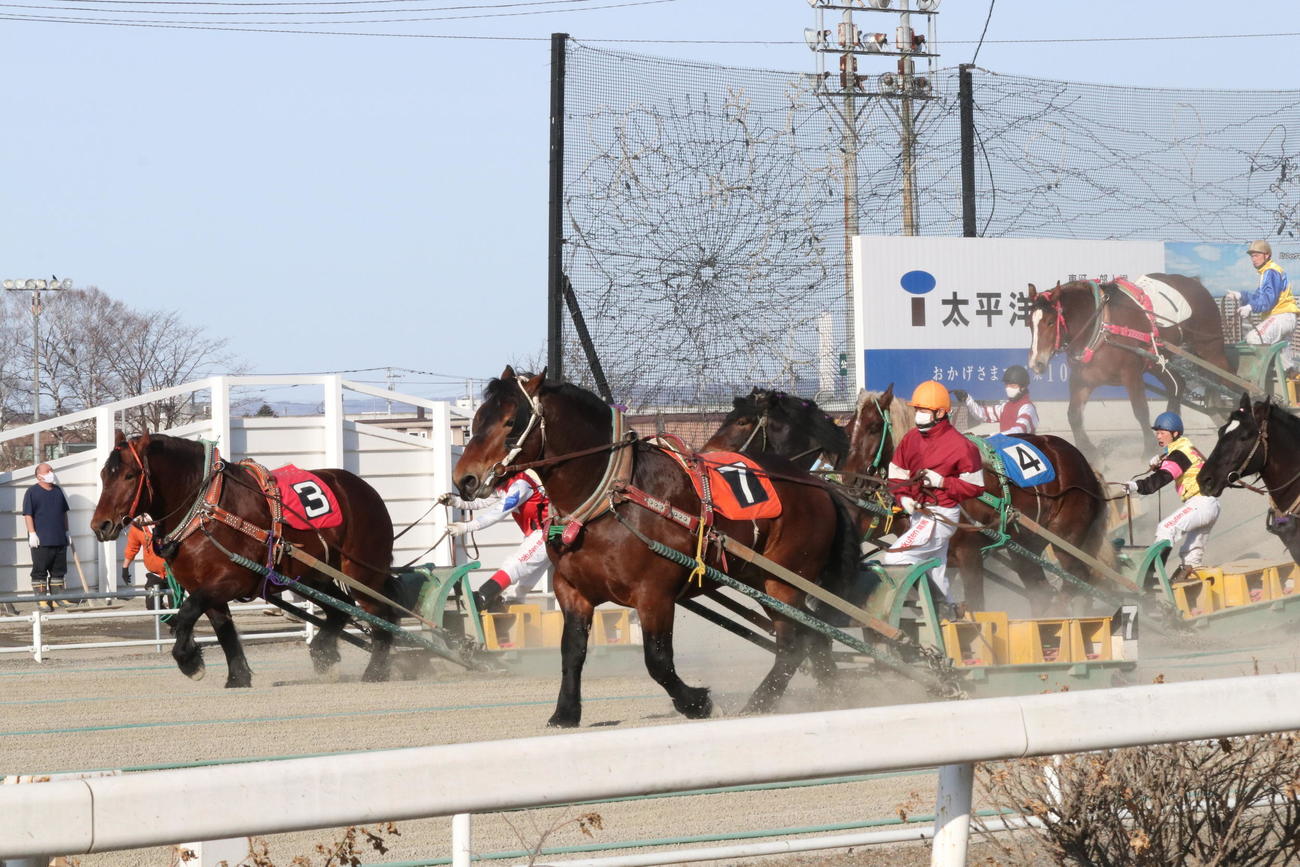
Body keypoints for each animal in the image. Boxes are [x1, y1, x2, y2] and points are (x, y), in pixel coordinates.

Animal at [91, 431, 396, 688]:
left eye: (130, 475)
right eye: (104, 474)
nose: (100, 525)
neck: (206, 508)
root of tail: (366, 490)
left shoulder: (232, 580)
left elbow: (187, 612)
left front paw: (189, 661)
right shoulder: (204, 588)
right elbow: (223, 630)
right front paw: (237, 678)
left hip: (361, 572)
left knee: (381, 613)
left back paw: (376, 671)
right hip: (312, 576)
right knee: (341, 608)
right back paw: (324, 652)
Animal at [1026, 275, 1230, 455]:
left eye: (1050, 322)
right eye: (1029, 324)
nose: (1036, 363)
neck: (1101, 327)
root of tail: (1195, 282)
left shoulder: (1131, 374)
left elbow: (1141, 411)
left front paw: (1148, 450)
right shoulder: (1082, 378)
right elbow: (1073, 415)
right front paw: (1091, 454)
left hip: (1210, 346)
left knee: (1226, 375)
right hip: (1156, 359)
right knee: (1177, 385)